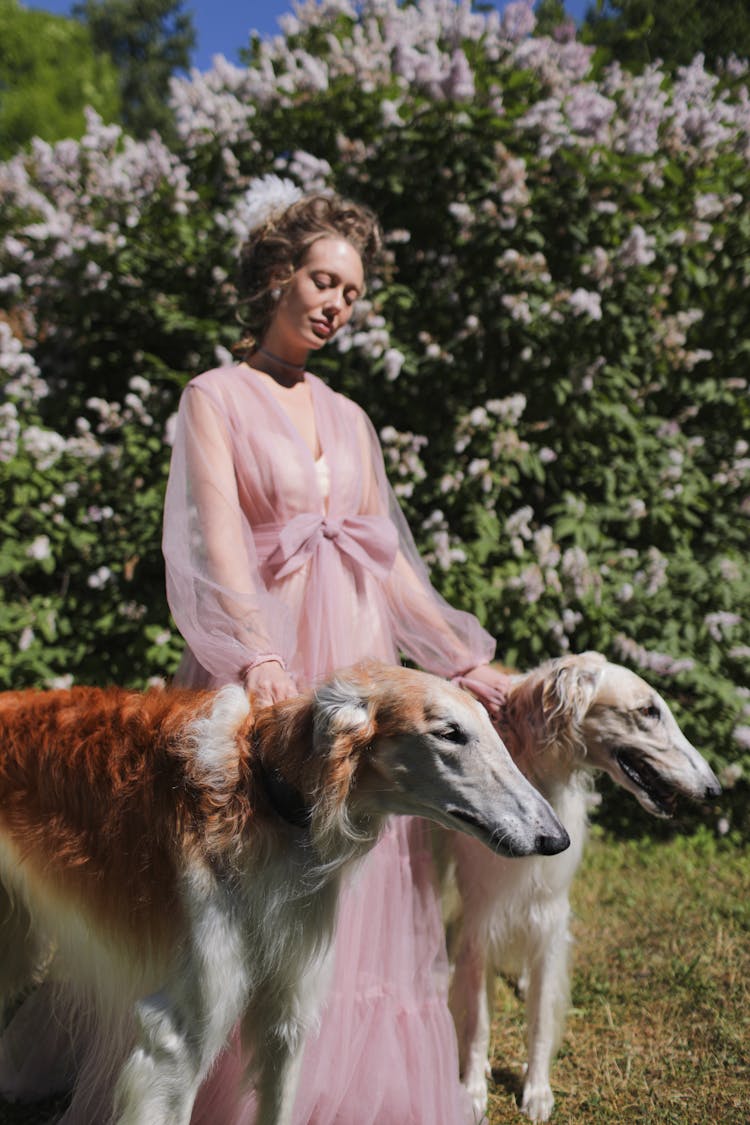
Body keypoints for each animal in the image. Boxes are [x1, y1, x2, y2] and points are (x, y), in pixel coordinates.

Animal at [0, 661, 566, 1120]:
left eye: (492, 728)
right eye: (449, 733)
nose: (556, 838)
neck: (264, 795)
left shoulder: (285, 1014)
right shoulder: (176, 1040)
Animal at [440, 657, 719, 1120]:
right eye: (648, 711)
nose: (714, 790)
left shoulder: (548, 916)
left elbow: (540, 1018)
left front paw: (537, 1089)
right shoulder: (483, 918)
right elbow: (477, 1020)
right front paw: (472, 1089)